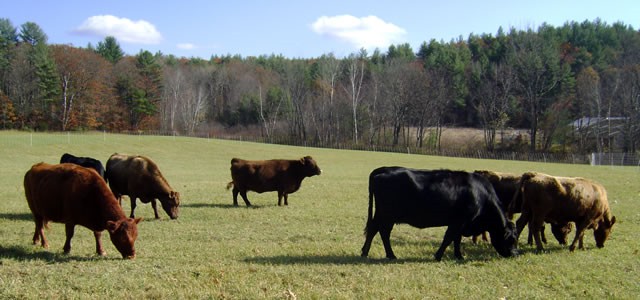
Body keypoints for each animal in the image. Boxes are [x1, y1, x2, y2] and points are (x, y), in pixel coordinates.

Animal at [360, 168, 520, 262]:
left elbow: (456, 239)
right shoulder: (459, 221)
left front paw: (459, 256)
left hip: (382, 214)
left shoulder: (459, 223)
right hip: (387, 215)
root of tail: (384, 170)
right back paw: (391, 255)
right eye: (511, 239)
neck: (481, 195)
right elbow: (448, 238)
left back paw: (365, 252)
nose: (515, 254)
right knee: (383, 232)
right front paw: (438, 256)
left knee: (373, 229)